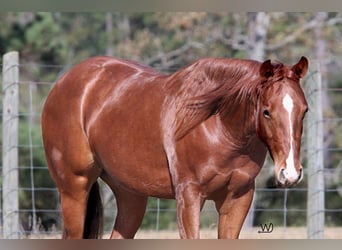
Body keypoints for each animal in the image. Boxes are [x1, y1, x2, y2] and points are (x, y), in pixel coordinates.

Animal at [41, 55, 308, 239]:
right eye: (266, 111)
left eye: (304, 110)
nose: (290, 173)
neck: (218, 124)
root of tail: (63, 83)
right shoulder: (189, 196)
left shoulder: (238, 198)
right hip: (74, 189)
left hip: (130, 195)